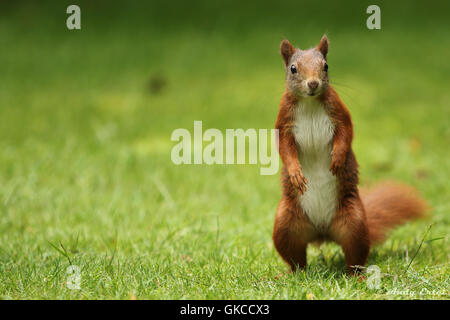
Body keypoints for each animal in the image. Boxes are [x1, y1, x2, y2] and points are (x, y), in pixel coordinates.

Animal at [272, 35, 428, 276]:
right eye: (293, 68)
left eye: (326, 66)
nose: (313, 84)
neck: (309, 102)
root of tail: (322, 232)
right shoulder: (284, 120)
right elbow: (285, 148)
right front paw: (295, 172)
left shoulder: (339, 111)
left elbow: (346, 133)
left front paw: (337, 158)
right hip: (285, 225)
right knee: (296, 259)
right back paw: (291, 274)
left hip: (354, 223)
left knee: (355, 255)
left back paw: (357, 276)